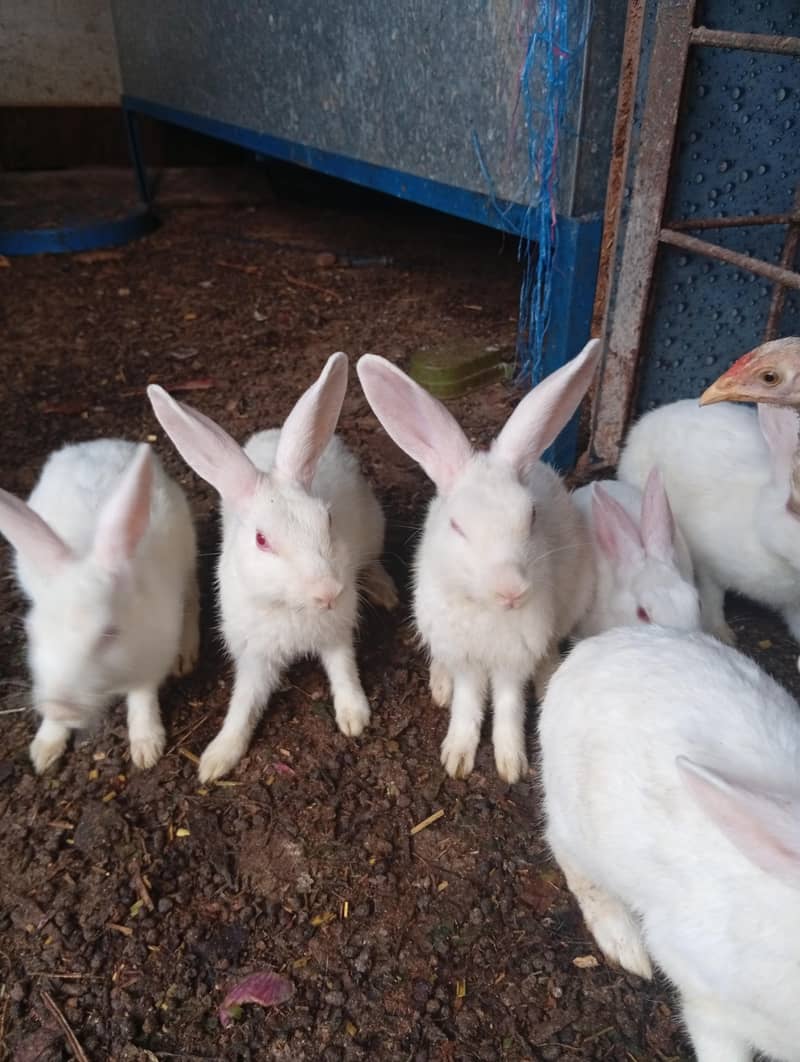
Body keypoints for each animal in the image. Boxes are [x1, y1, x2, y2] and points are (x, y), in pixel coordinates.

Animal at [0, 440, 200, 773]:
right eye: (32, 633)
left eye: (108, 633)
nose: (59, 706)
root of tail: (101, 443)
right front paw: (45, 749)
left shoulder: (151, 658)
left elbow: (142, 697)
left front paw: (147, 747)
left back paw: (185, 657)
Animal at [147, 351, 398, 783]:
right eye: (262, 540)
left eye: (327, 519)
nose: (329, 592)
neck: (290, 607)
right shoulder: (254, 656)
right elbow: (244, 703)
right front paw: (217, 758)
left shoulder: (336, 634)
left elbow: (343, 669)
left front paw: (354, 716)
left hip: (373, 527)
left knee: (373, 561)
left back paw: (385, 589)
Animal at [356, 339, 600, 784]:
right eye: (457, 526)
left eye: (531, 516)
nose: (511, 590)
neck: (487, 611)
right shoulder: (466, 660)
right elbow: (468, 703)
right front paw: (457, 756)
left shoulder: (513, 662)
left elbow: (508, 706)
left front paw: (511, 763)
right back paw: (440, 685)